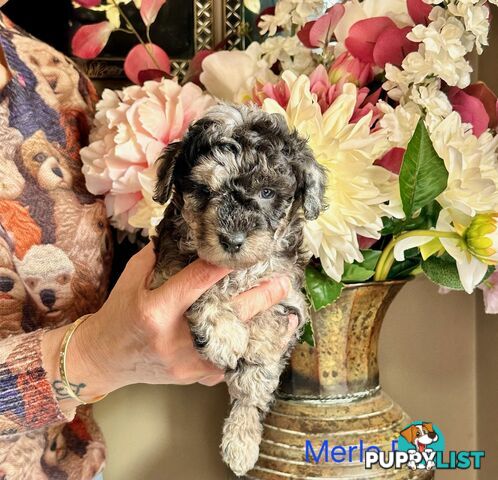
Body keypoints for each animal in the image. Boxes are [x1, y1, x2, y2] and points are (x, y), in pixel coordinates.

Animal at [154, 103, 328, 474]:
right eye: (204, 191)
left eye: (266, 192)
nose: (232, 241)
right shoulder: (166, 271)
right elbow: (203, 286)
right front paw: (223, 333)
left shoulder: (287, 290)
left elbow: (261, 356)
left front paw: (241, 438)